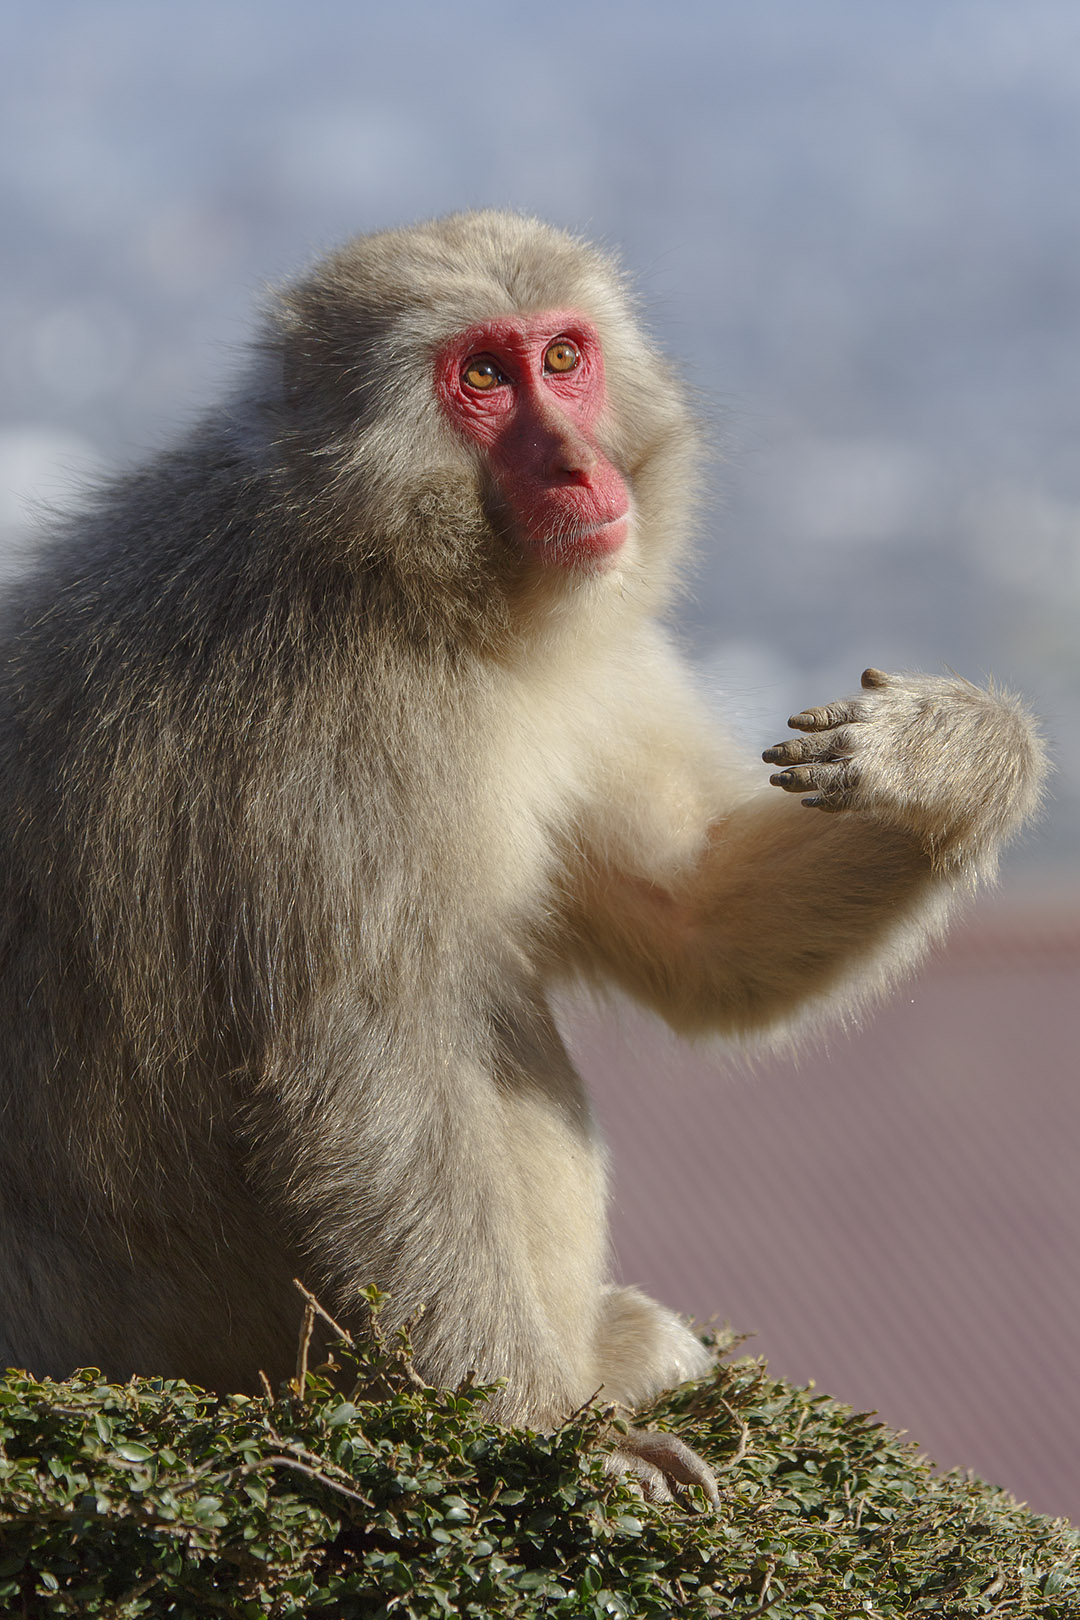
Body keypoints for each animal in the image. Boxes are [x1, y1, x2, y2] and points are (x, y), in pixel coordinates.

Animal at [0, 211, 1046, 1503]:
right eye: (484, 381)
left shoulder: (591, 654)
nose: (578, 468)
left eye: (561, 359)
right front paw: (546, 1433)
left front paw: (950, 754)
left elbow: (696, 930)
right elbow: (359, 1068)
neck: (401, 581)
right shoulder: (330, 729)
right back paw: (591, 1370)